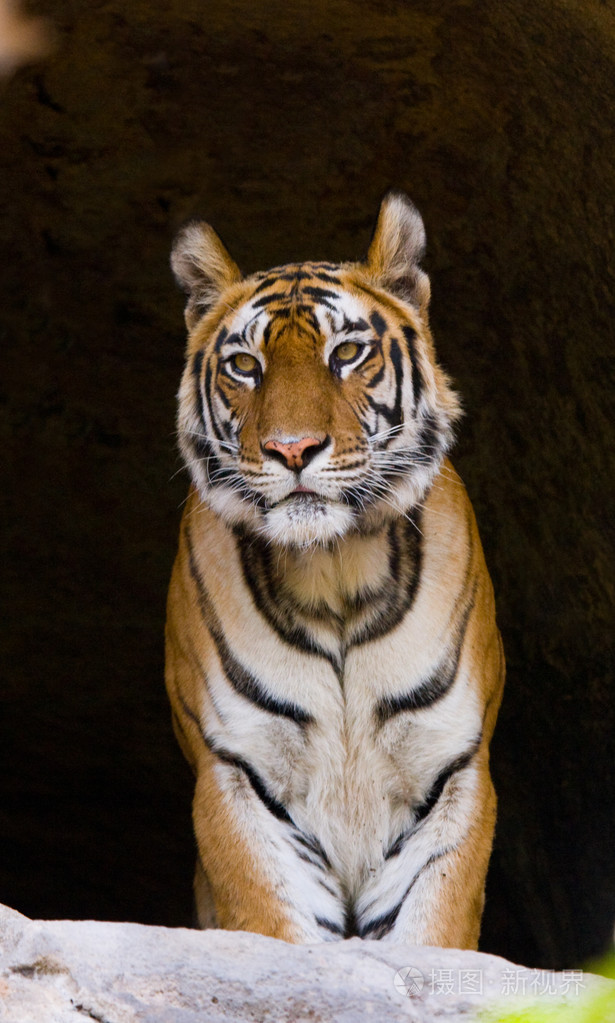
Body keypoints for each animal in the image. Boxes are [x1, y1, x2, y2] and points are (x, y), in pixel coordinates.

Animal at [165, 191, 505, 948]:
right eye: (244, 364)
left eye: (346, 353)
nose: (292, 449)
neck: (333, 572)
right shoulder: (236, 770)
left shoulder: (453, 770)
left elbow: (430, 931)